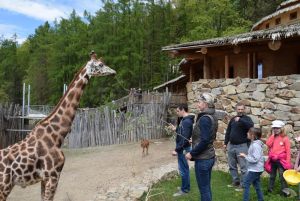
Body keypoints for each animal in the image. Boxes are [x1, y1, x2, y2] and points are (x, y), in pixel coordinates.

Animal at [0, 55, 116, 201]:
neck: (56, 135)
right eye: (100, 65)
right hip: (4, 186)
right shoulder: (53, 175)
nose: (113, 72)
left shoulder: (45, 178)